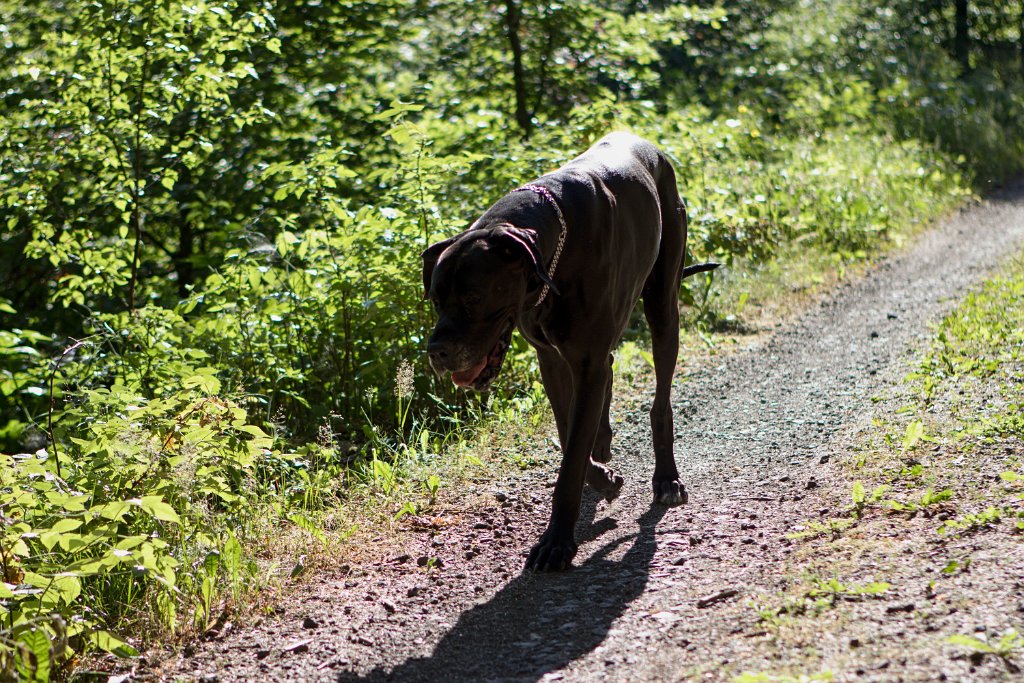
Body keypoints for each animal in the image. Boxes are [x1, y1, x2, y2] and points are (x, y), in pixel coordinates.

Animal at [419, 133, 716, 573]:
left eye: (473, 298)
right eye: (436, 300)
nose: (436, 352)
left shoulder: (587, 362)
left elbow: (572, 455)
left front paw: (556, 542)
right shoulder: (553, 360)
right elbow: (568, 434)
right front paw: (602, 477)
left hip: (663, 305)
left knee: (660, 400)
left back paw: (666, 478)